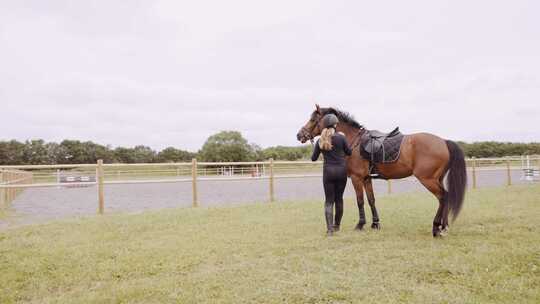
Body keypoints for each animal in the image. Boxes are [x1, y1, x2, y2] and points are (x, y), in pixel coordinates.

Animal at [296, 105, 468, 236]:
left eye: (313, 119)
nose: (299, 135)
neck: (355, 143)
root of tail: (443, 141)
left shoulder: (357, 178)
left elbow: (360, 200)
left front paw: (360, 224)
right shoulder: (367, 178)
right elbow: (371, 200)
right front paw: (375, 223)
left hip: (428, 180)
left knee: (442, 197)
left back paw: (436, 227)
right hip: (437, 179)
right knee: (446, 197)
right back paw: (444, 226)